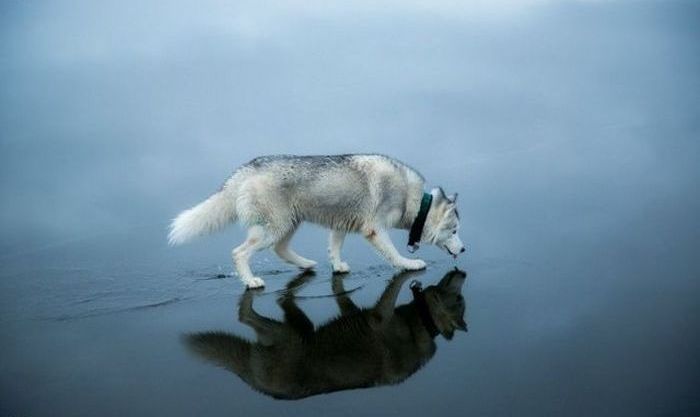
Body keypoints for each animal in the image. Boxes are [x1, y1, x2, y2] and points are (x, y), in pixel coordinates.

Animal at [169, 153, 464, 286]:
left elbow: (334, 248)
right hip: (275, 227)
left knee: (280, 249)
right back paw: (250, 281)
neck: (413, 200)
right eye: (454, 230)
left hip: (288, 224)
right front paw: (409, 264)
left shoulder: (341, 224)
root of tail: (248, 168)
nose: (463, 249)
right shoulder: (374, 229)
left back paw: (306, 264)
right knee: (239, 252)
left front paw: (337, 266)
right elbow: (392, 254)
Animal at [183, 268, 468, 398]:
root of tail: (253, 382)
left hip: (297, 328)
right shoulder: (379, 316)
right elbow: (396, 282)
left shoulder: (357, 313)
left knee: (278, 302)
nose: (463, 271)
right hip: (289, 336)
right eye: (460, 298)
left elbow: (340, 290)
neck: (421, 323)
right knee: (245, 315)